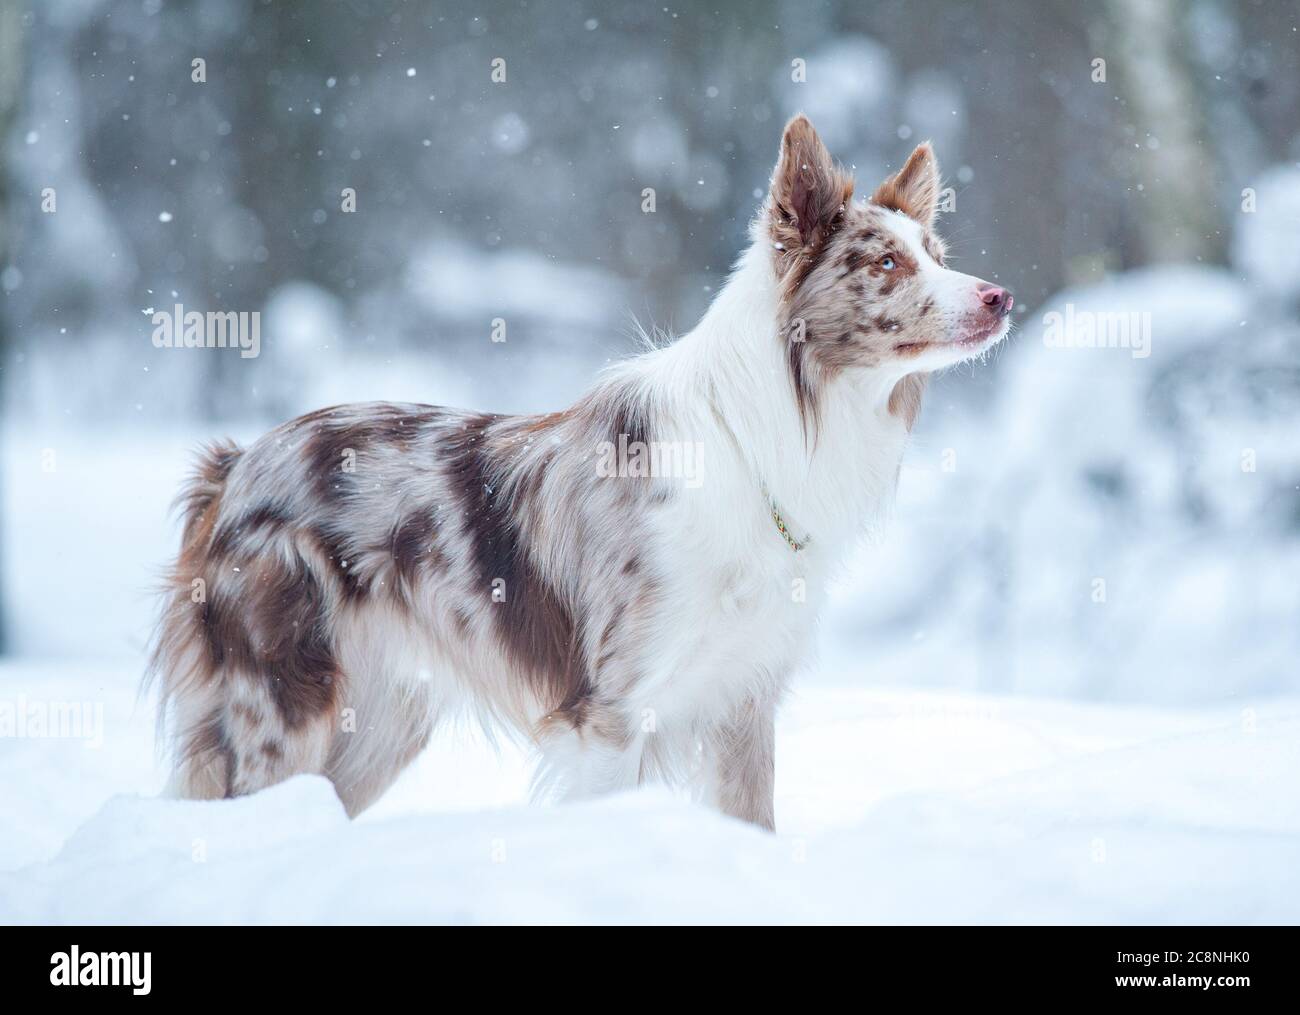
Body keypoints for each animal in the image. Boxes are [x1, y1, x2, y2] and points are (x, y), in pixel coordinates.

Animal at [147, 116, 1008, 831]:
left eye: (938, 256)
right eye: (889, 263)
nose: (1000, 296)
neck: (774, 431)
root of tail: (233, 464)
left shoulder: (743, 698)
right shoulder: (611, 712)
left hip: (381, 724)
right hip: (279, 707)